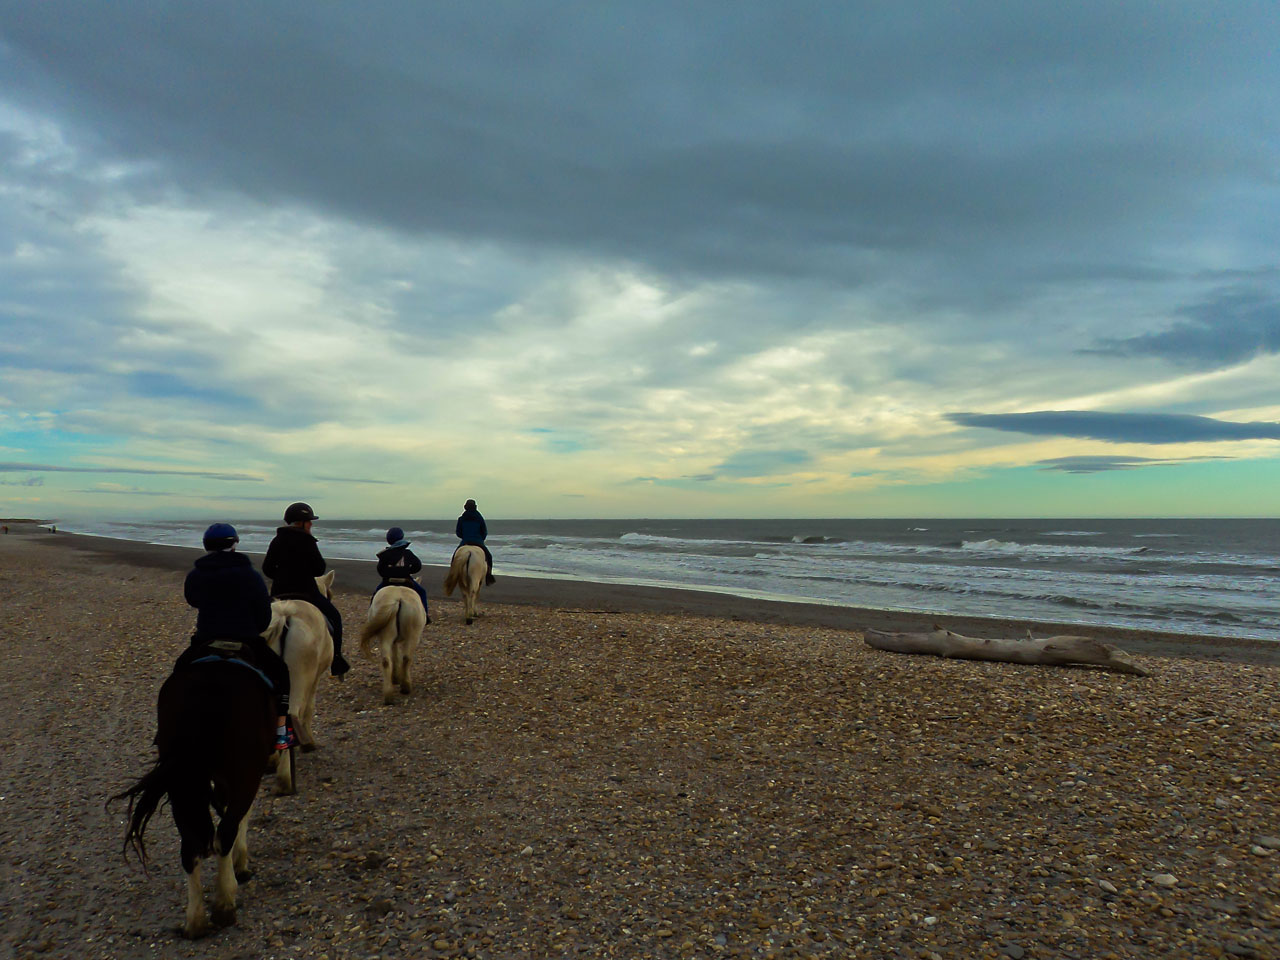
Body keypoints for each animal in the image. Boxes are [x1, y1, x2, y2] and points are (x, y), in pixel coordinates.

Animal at [114, 660, 275, 936]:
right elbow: (240, 818)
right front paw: (240, 863)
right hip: (243, 773)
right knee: (225, 833)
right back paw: (224, 903)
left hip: (183, 786)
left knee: (190, 848)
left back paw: (195, 921)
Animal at [261, 576, 335, 793]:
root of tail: (285, 617)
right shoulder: (314, 679)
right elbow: (309, 709)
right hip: (298, 679)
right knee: (290, 715)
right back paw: (285, 779)